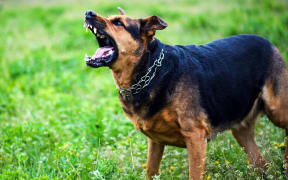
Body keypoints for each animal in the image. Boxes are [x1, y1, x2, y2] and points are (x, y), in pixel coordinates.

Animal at [82, 7, 288, 180]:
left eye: (118, 23)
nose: (88, 13)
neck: (150, 69)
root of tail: (268, 42)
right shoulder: (155, 142)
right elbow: (151, 171)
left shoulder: (195, 137)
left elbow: (194, 174)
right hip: (241, 129)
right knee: (261, 163)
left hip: (277, 110)